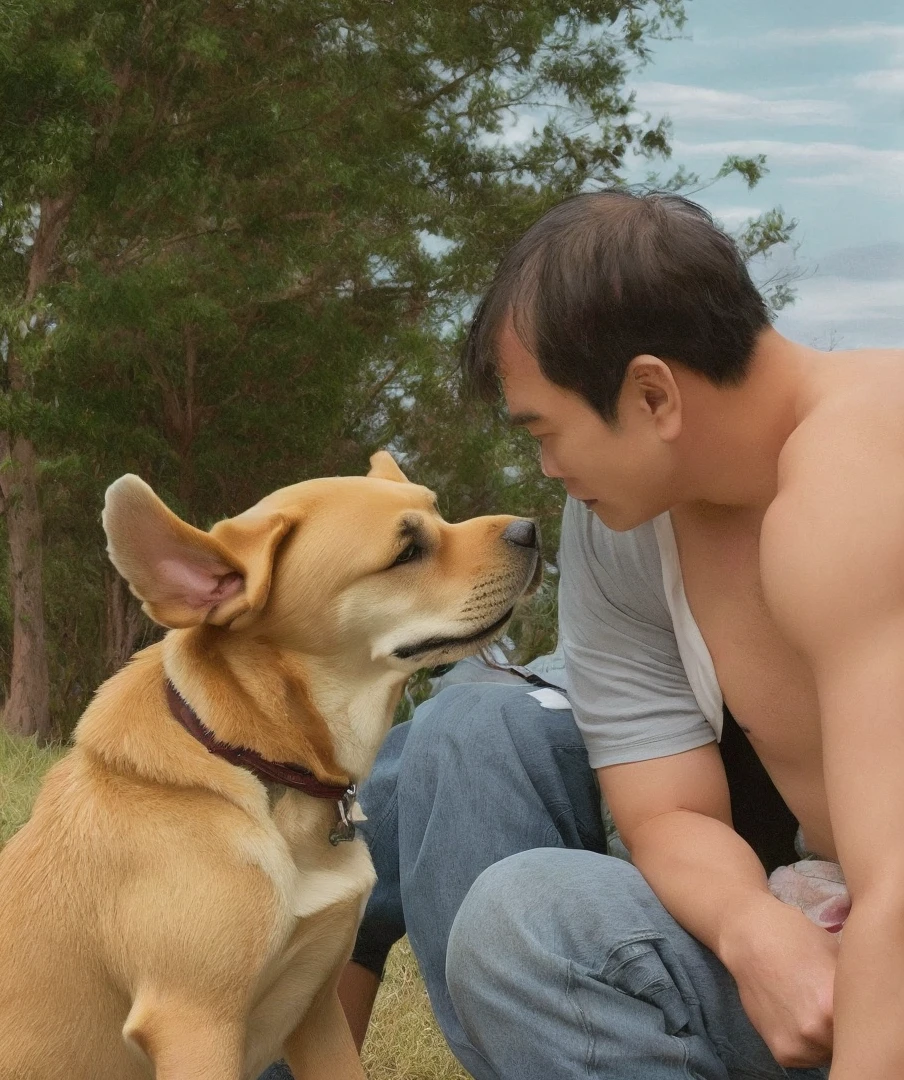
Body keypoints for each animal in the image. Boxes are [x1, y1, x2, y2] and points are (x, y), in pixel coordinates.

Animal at [0, 451, 540, 1075]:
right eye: (406, 552)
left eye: (438, 510)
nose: (532, 530)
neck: (255, 766)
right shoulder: (195, 1024)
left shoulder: (319, 1008)